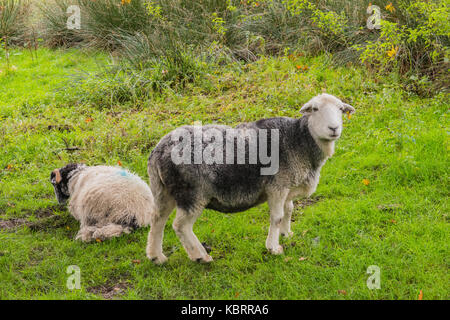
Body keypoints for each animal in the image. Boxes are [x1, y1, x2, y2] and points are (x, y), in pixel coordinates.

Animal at [147, 94, 356, 264]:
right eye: (315, 109)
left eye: (340, 109)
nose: (334, 128)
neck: (298, 140)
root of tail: (158, 150)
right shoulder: (277, 186)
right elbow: (277, 216)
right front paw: (274, 247)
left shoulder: (287, 187)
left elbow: (289, 210)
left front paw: (287, 233)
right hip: (192, 193)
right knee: (181, 226)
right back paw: (200, 256)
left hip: (163, 190)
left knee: (157, 219)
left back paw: (156, 257)